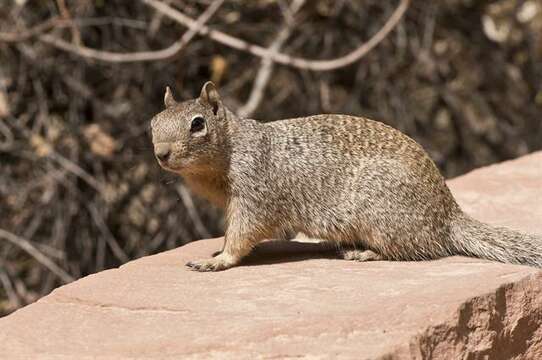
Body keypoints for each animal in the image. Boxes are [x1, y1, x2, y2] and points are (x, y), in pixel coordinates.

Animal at [151, 81, 542, 272]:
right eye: (153, 122)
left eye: (197, 124)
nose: (161, 153)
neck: (231, 149)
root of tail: (447, 214)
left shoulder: (254, 194)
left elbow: (243, 233)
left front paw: (216, 260)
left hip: (380, 214)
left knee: (416, 250)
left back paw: (365, 254)